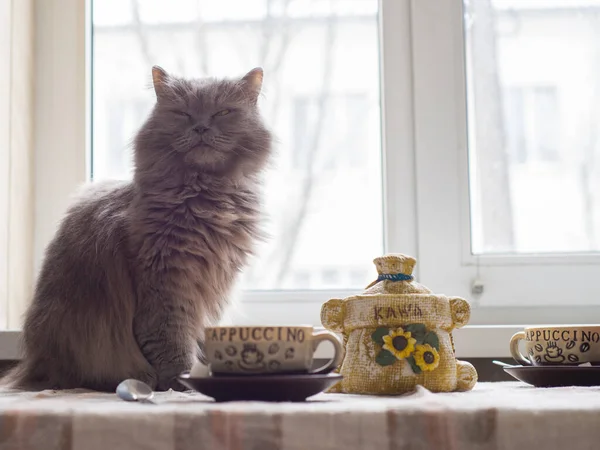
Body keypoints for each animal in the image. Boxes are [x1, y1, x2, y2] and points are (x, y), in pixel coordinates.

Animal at [4, 66, 272, 390]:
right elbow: (172, 342)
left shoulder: (213, 281)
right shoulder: (166, 283)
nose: (200, 128)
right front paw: (180, 382)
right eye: (182, 114)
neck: (206, 199)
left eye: (222, 112)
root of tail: (32, 367)